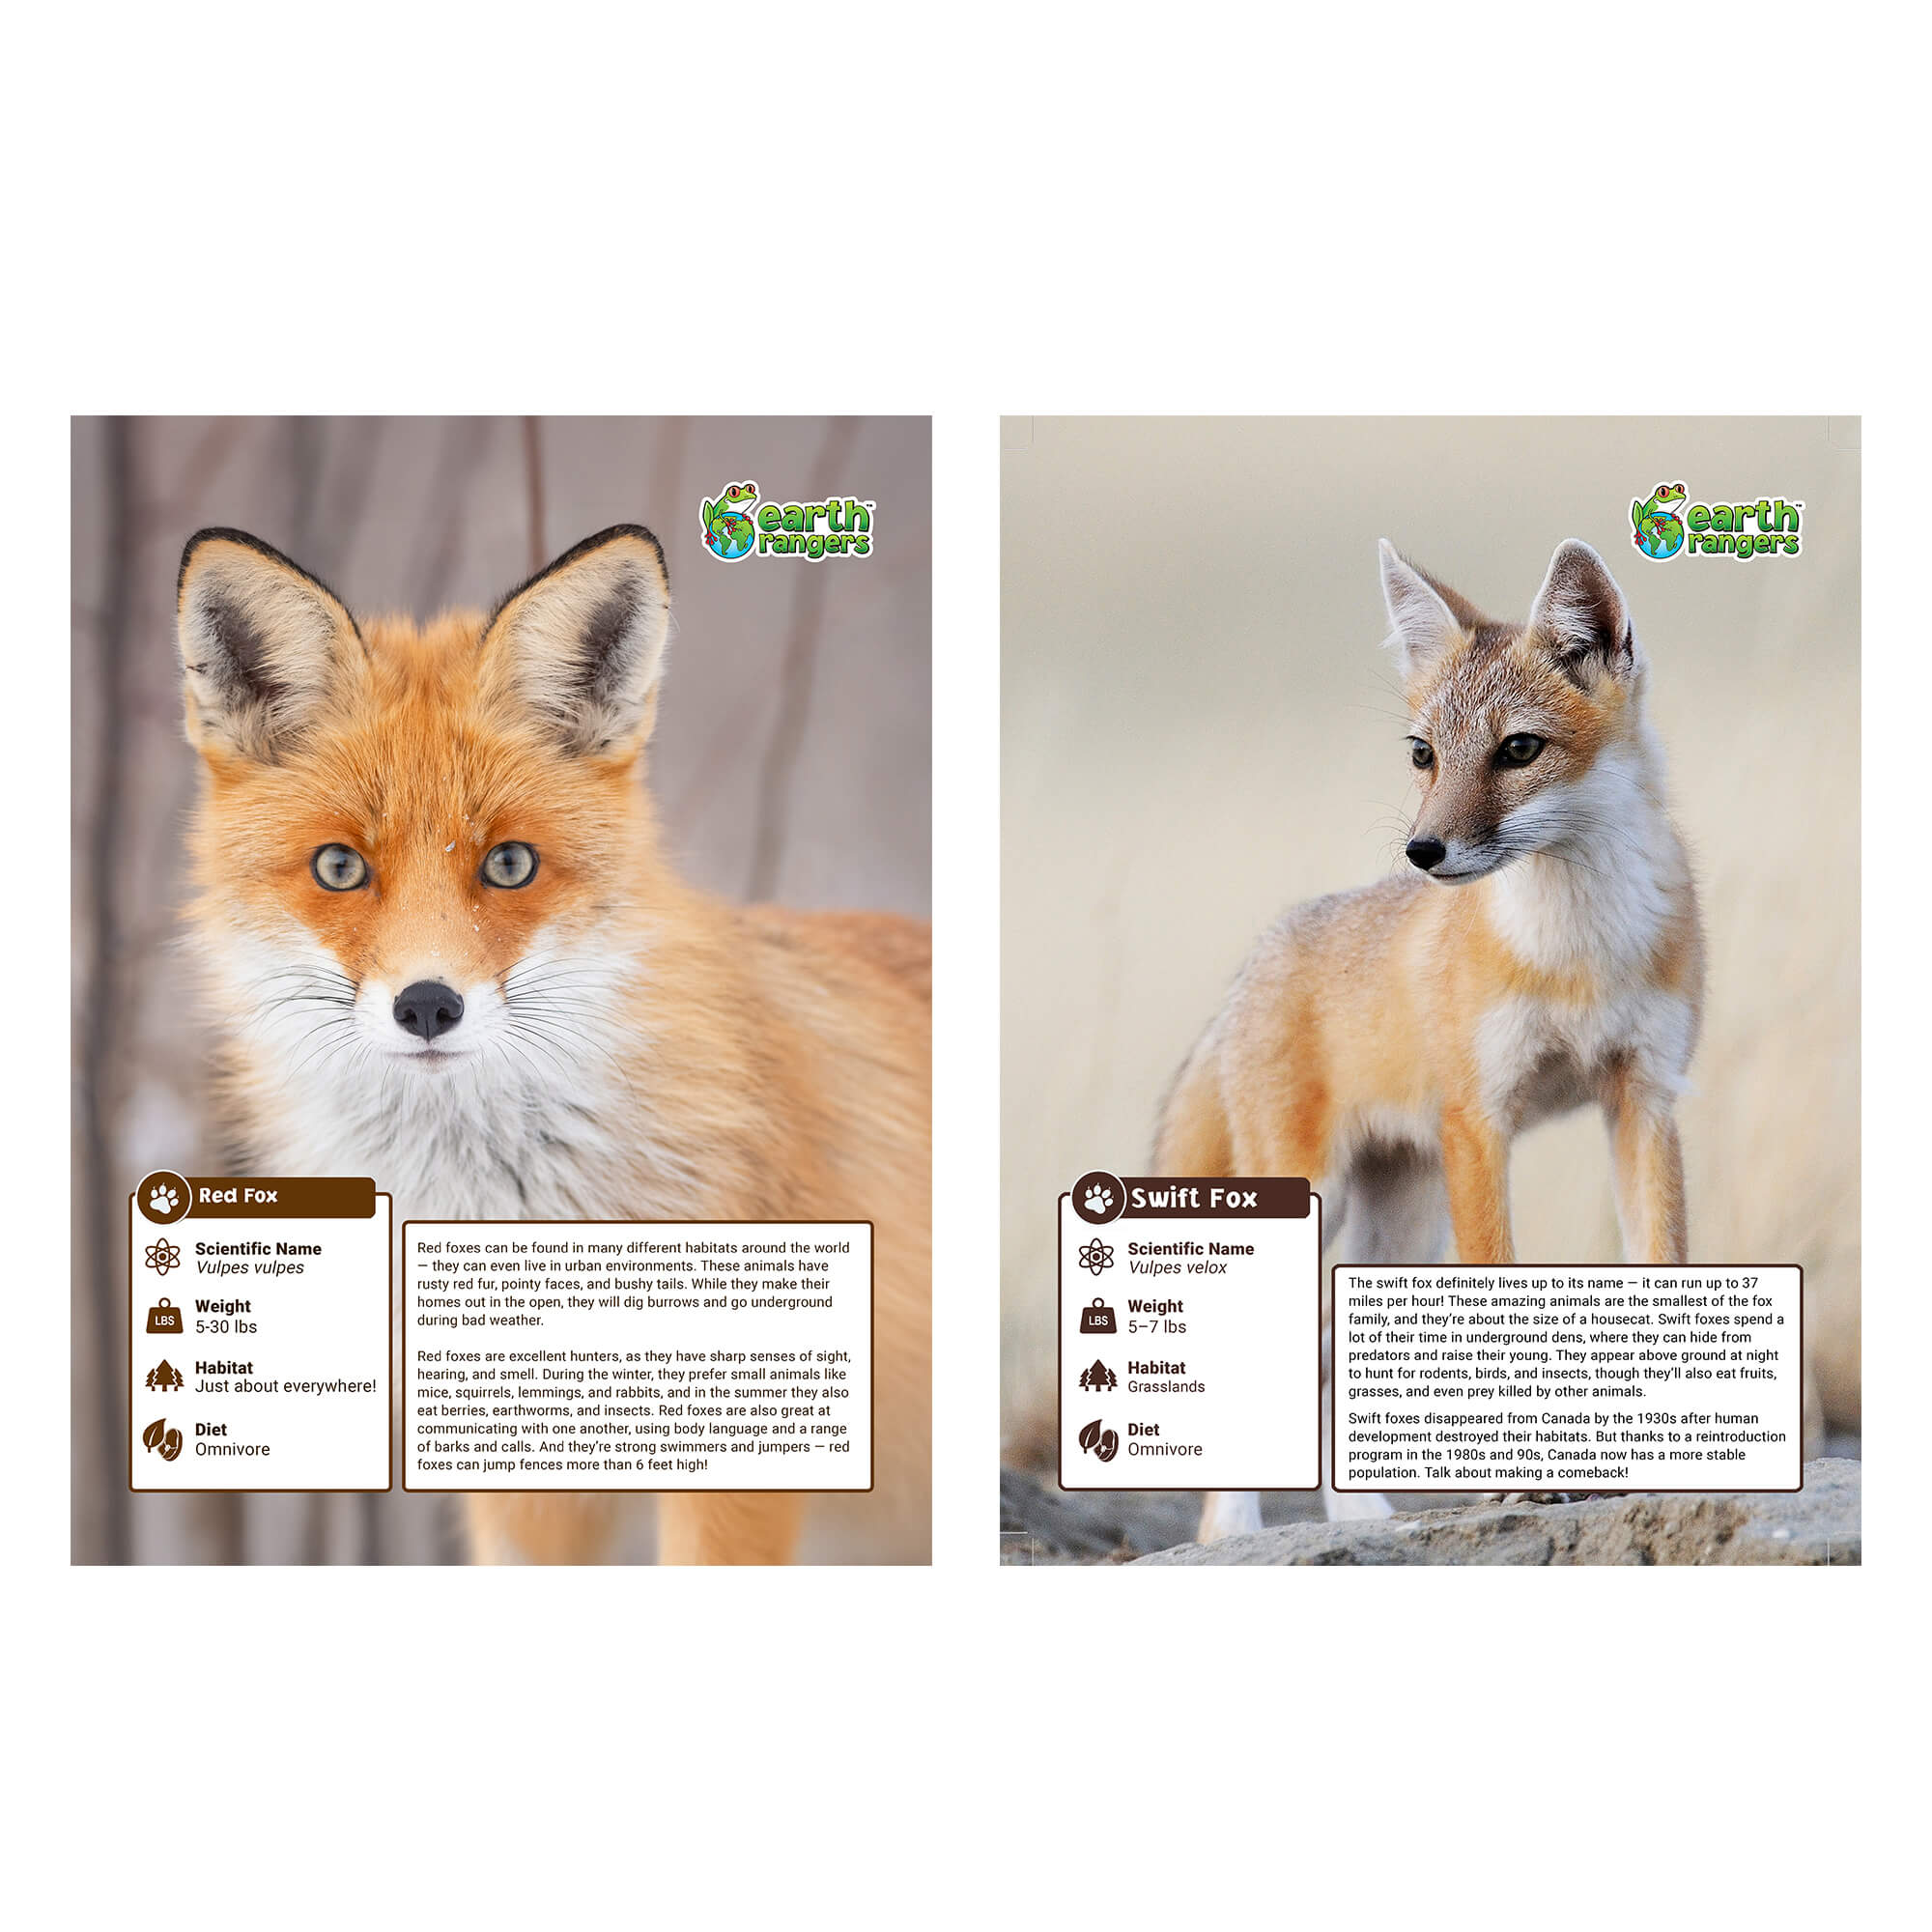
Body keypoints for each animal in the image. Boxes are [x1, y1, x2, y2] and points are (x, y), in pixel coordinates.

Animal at [174, 523, 930, 1564]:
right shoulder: (518, 1468)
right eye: (339, 867)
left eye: (508, 863)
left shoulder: (749, 1449)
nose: (428, 1006)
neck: (510, 1201)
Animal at [1153, 537, 1703, 1541]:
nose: (1422, 851)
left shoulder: (1645, 1098)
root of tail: (1257, 956)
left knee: (1331, 1356)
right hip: (1315, 1194)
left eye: (1518, 749)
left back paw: (1362, 1515)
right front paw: (1523, 1485)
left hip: (1401, 1226)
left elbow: (1662, 1264)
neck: (1578, 953)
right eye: (1424, 755)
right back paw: (1233, 1530)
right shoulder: (1478, 1122)